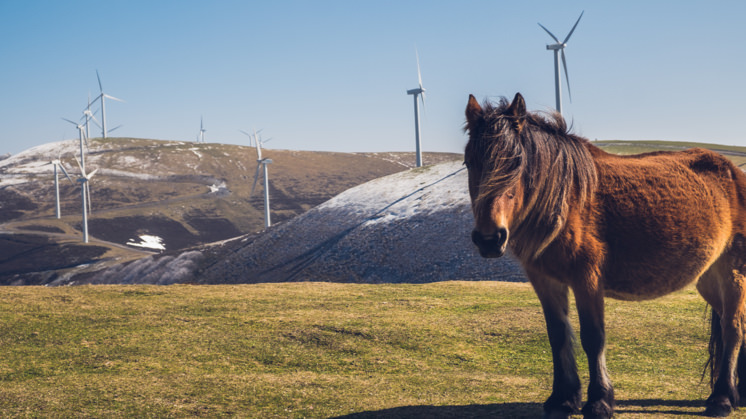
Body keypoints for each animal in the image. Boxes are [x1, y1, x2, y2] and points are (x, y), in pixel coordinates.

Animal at [462, 93, 744, 418]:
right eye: (469, 162)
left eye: (517, 164)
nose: (489, 238)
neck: (566, 199)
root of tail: (734, 173)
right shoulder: (544, 280)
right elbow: (558, 334)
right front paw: (562, 399)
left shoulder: (587, 279)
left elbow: (593, 337)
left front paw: (599, 401)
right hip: (709, 280)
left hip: (732, 272)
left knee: (732, 329)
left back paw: (722, 398)